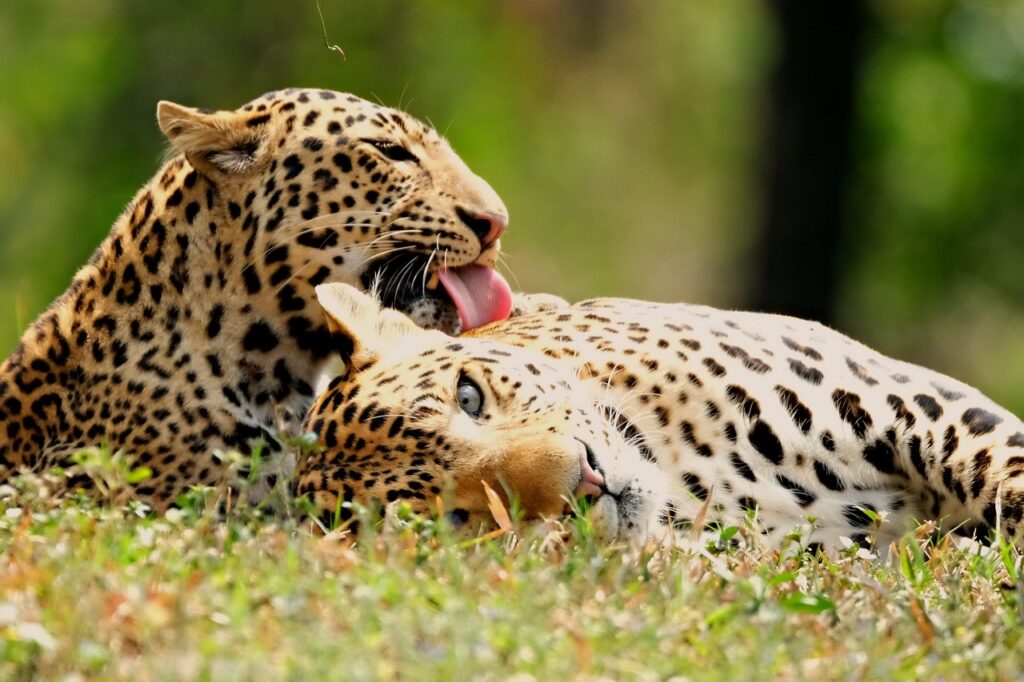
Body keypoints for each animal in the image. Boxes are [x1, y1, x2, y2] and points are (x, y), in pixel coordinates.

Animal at [297, 283, 1024, 550]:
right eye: (461, 518)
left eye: (469, 397)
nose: (587, 480)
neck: (693, 480)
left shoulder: (912, 403)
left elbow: (1003, 474)